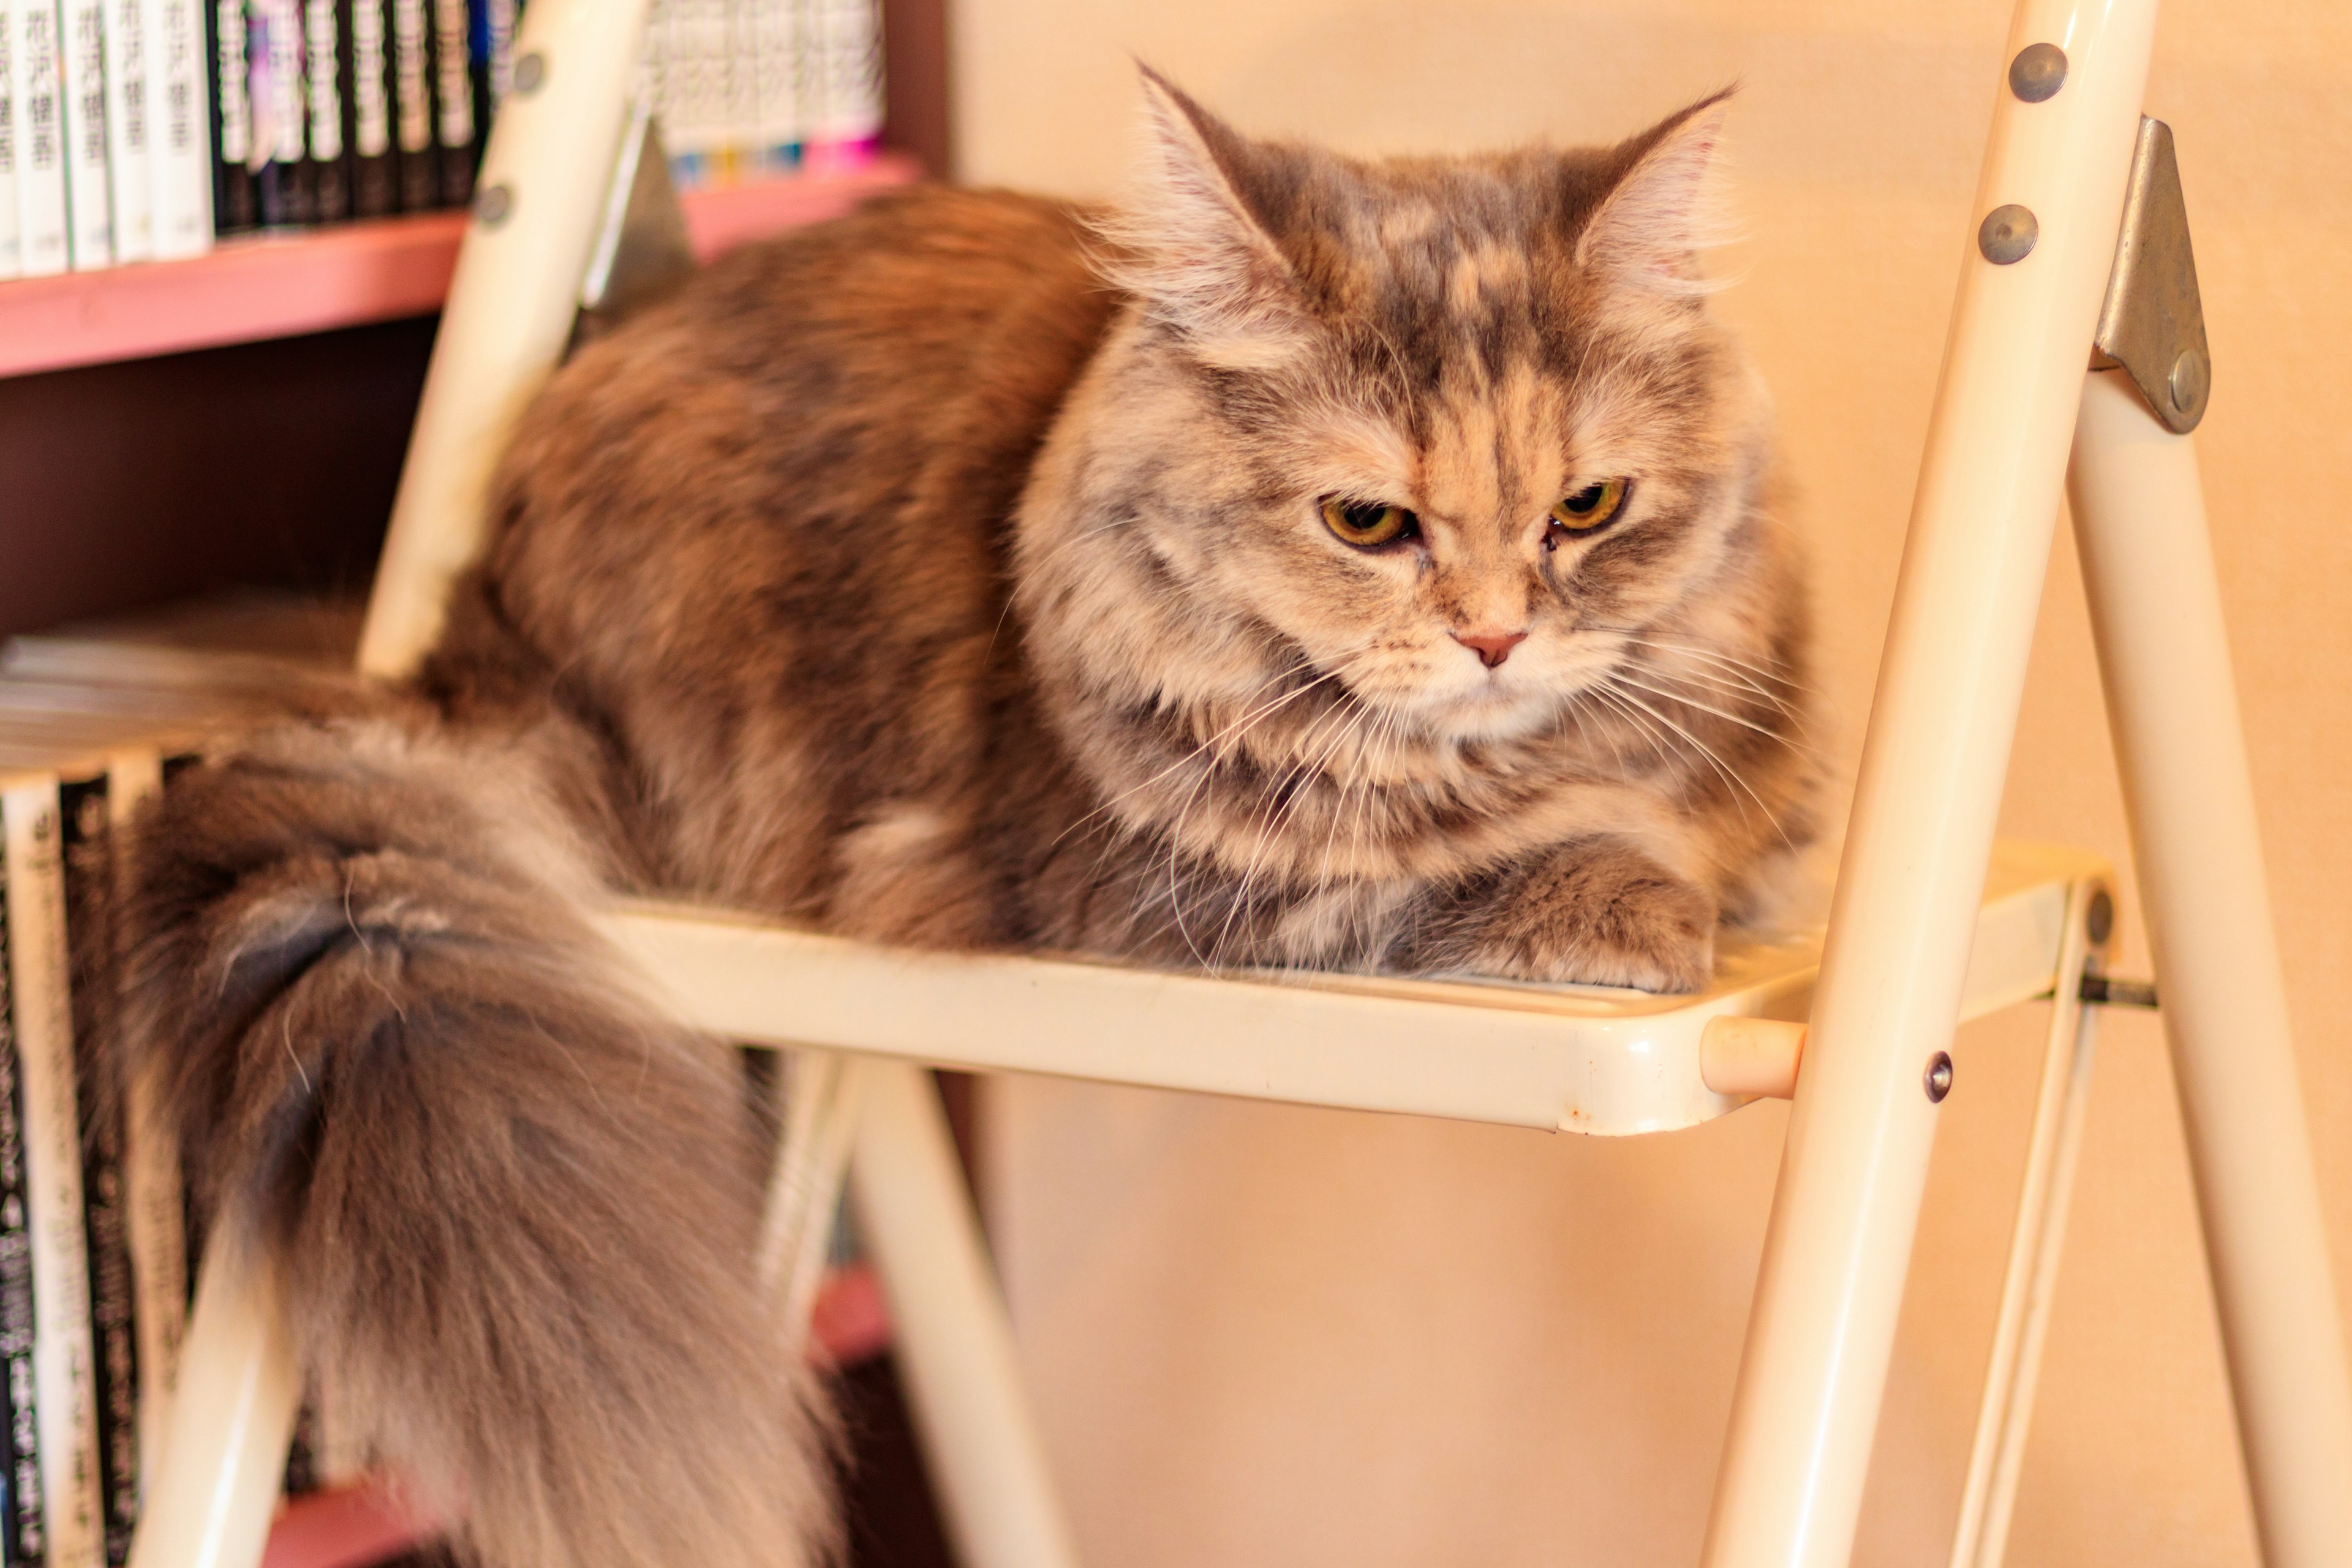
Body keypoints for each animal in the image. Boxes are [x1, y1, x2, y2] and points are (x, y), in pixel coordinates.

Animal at [119, 67, 1815, 1568]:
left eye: (1587, 510)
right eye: (1367, 522)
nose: (1495, 638)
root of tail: (475, 632)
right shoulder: (1146, 877)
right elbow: (1465, 870)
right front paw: (1638, 902)